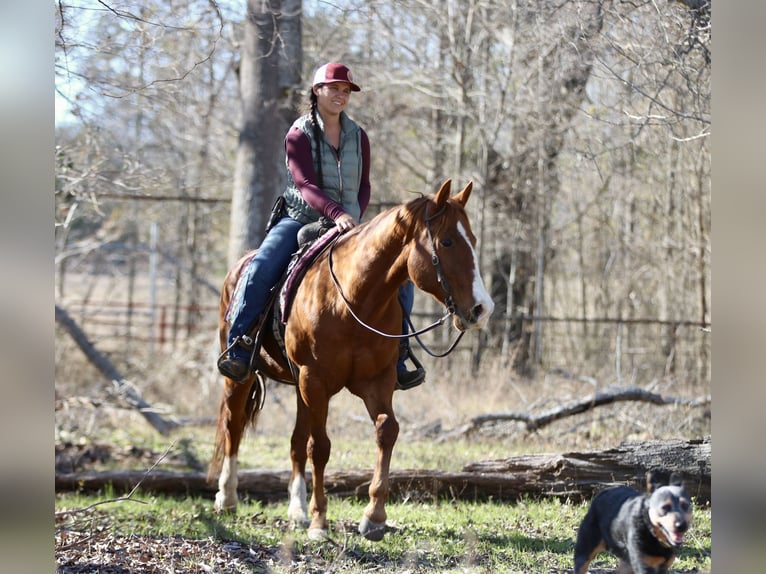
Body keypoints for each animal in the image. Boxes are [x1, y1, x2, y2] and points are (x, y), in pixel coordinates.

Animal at [208, 179, 494, 541]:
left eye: (472, 240)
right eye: (447, 241)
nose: (482, 309)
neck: (353, 300)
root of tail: (239, 266)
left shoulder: (376, 381)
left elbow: (386, 430)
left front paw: (374, 517)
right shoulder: (315, 379)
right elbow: (320, 447)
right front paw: (320, 522)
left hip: (299, 386)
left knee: (296, 441)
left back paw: (296, 511)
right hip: (243, 377)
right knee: (233, 425)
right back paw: (227, 498)